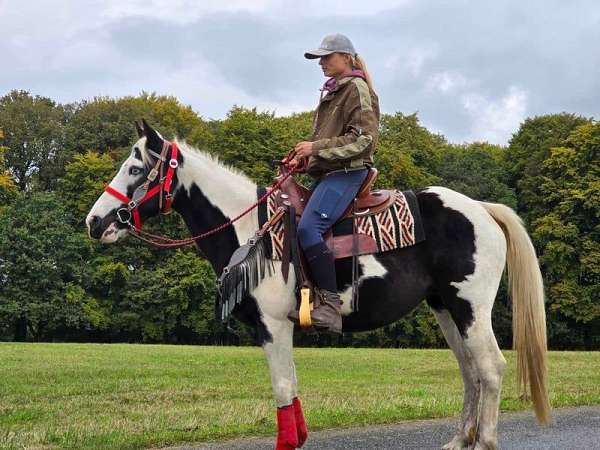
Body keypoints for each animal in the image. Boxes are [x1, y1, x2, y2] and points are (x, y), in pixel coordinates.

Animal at [86, 120, 552, 450]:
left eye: (135, 168)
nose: (94, 222)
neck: (251, 230)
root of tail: (482, 210)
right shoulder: (281, 326)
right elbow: (291, 386)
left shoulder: (272, 324)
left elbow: (282, 387)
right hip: (445, 308)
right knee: (470, 371)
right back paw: (459, 439)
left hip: (470, 307)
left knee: (490, 368)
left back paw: (484, 441)